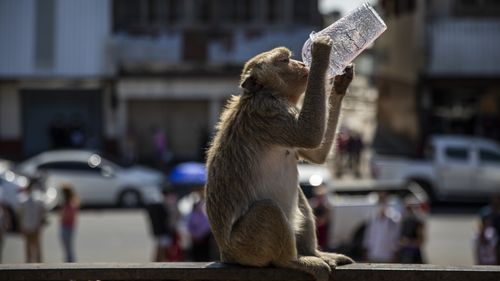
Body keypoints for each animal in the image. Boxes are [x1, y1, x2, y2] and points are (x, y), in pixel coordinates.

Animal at [205, 35, 354, 281]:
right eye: (284, 60)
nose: (302, 64)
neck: (268, 94)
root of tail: (226, 254)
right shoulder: (270, 114)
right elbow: (309, 134)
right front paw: (321, 51)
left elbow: (316, 154)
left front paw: (341, 82)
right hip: (245, 246)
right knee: (268, 210)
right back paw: (295, 261)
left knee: (300, 198)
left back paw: (315, 253)